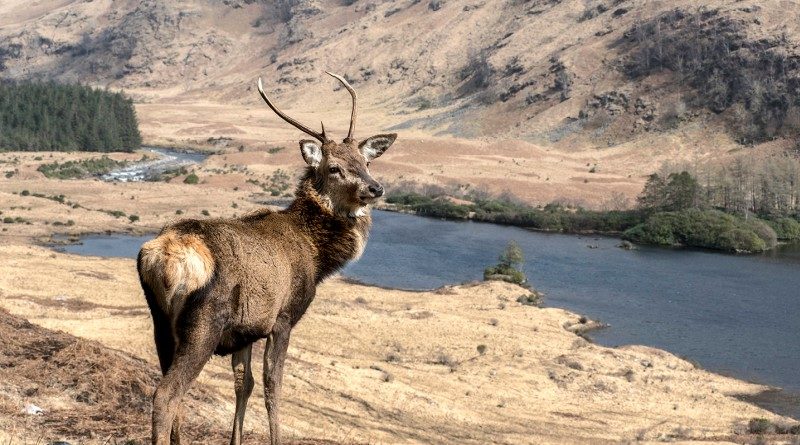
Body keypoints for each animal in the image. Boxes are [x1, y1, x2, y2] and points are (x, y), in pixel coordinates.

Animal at [137, 72, 396, 445]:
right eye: (334, 168)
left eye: (365, 162)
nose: (375, 188)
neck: (317, 258)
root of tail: (163, 257)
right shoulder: (283, 317)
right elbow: (273, 384)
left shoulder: (246, 329)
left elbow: (243, 383)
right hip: (203, 322)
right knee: (167, 393)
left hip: (161, 323)